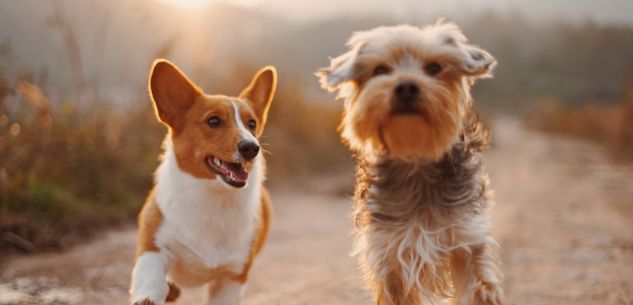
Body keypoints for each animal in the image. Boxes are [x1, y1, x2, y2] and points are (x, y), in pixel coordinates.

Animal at [130, 58, 276, 304]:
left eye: (252, 124)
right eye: (213, 121)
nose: (251, 148)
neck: (212, 197)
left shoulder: (232, 277)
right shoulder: (153, 247)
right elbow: (151, 281)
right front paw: (149, 296)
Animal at [318, 22, 506, 304]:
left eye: (435, 68)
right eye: (380, 70)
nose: (406, 87)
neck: (415, 157)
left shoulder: (467, 239)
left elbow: (479, 286)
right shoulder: (390, 253)